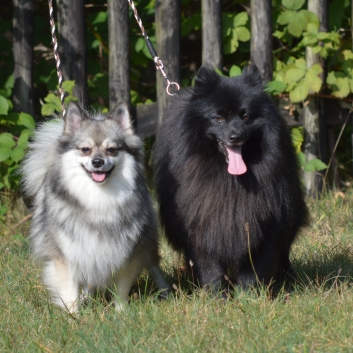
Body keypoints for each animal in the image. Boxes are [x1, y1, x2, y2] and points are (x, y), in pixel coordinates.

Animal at [21, 101, 170, 310]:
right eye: (85, 149)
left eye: (111, 150)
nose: (97, 161)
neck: (98, 197)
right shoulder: (66, 257)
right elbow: (70, 293)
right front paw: (73, 315)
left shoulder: (126, 253)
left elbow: (121, 289)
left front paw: (121, 312)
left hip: (146, 242)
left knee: (154, 265)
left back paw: (167, 292)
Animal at [153, 64, 306, 290]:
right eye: (218, 118)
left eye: (246, 117)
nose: (235, 136)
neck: (230, 180)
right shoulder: (201, 222)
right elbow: (208, 265)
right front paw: (216, 293)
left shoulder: (265, 221)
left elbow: (256, 264)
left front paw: (249, 293)